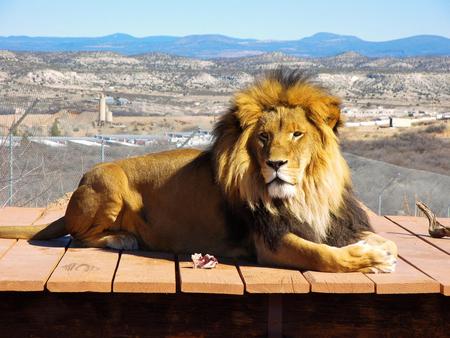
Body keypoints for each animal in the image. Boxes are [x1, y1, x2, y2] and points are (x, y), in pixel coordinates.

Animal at [1, 68, 400, 272]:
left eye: (297, 134)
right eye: (264, 138)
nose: (275, 164)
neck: (306, 191)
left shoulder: (331, 222)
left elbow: (382, 239)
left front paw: (381, 249)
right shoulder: (269, 242)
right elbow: (321, 255)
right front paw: (369, 259)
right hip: (108, 182)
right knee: (79, 236)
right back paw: (121, 238)